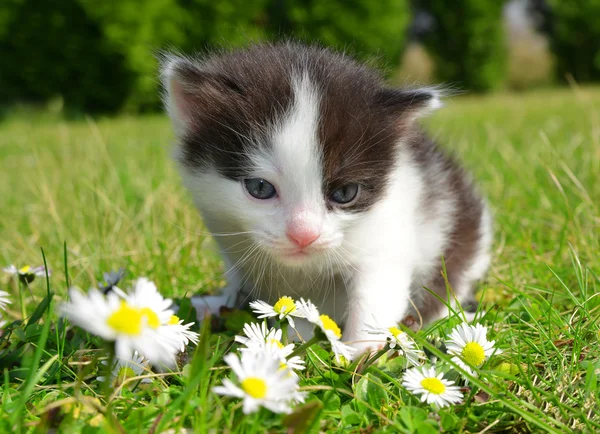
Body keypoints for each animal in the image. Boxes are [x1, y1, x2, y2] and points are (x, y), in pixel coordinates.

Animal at [161, 42, 492, 352]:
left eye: (344, 193)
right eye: (260, 188)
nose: (303, 235)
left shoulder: (389, 229)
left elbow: (376, 291)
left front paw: (360, 355)